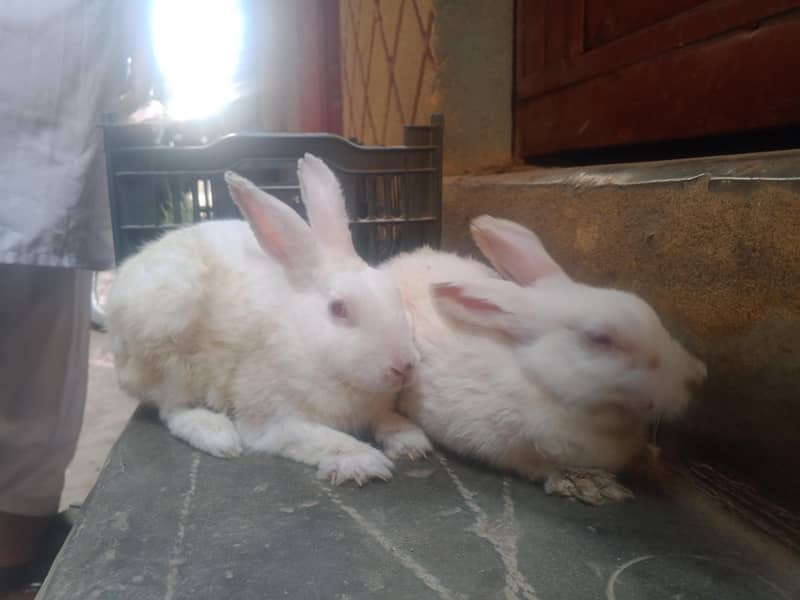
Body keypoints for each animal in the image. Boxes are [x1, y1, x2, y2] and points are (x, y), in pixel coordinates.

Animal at [106, 154, 432, 485]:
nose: (404, 366)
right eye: (338, 309)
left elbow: (388, 420)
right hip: (168, 344)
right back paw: (217, 434)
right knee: (172, 409)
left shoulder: (376, 409)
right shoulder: (271, 419)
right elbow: (317, 438)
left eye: (393, 291)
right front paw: (362, 461)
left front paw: (411, 442)